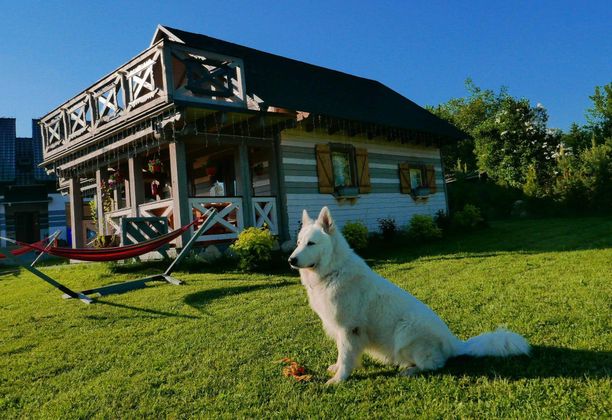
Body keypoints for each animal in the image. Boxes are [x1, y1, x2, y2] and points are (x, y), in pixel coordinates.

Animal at [290, 207, 528, 384]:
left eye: (311, 243)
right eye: (299, 243)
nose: (291, 260)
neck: (333, 270)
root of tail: (455, 343)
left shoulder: (350, 330)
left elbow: (347, 357)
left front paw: (339, 380)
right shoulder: (341, 331)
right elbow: (341, 356)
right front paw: (336, 369)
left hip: (406, 329)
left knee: (435, 365)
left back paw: (409, 370)